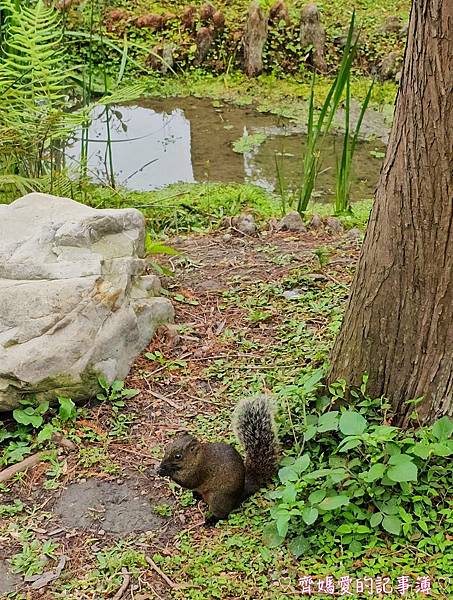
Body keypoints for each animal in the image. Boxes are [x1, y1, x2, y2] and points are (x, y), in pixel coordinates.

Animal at [157, 396, 278, 528]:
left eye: (178, 456)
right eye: (167, 447)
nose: (162, 465)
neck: (197, 458)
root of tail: (241, 493)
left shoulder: (199, 471)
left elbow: (188, 481)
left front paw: (164, 471)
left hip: (218, 499)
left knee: (223, 514)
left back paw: (211, 520)